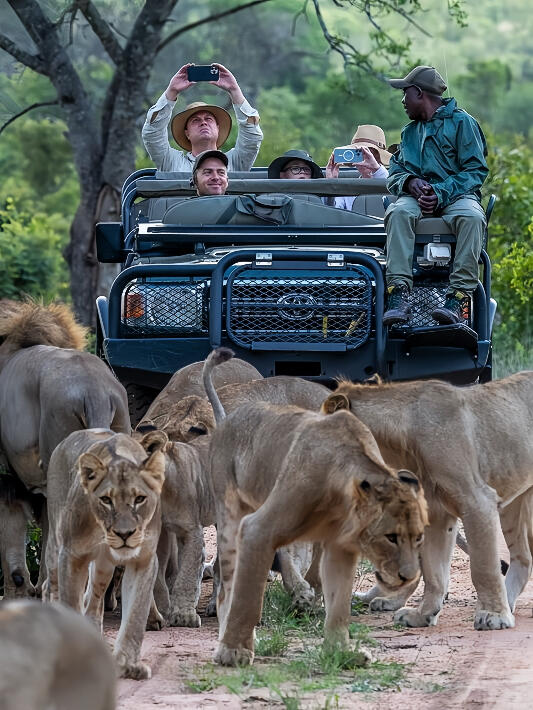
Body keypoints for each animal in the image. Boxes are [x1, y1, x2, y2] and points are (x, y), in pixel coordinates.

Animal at [202, 350, 426, 668]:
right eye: (390, 537)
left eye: (419, 537)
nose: (409, 575)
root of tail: (227, 419)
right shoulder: (259, 528)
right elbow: (250, 595)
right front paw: (235, 652)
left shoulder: (339, 545)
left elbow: (339, 602)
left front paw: (340, 650)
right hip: (232, 516)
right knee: (228, 588)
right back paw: (229, 640)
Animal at [320, 370, 532, 632]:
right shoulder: (436, 514)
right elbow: (433, 571)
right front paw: (423, 615)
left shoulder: (477, 501)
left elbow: (483, 566)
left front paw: (493, 615)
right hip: (513, 506)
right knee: (523, 558)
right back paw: (509, 602)